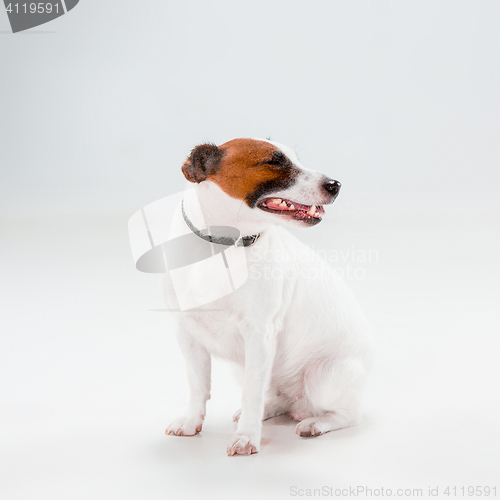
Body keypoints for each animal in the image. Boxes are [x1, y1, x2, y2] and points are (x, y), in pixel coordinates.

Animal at [162, 138, 374, 458]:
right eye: (273, 161)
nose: (335, 184)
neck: (222, 247)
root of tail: (301, 405)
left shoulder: (258, 335)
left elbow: (251, 393)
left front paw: (246, 437)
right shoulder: (187, 334)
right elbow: (198, 385)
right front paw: (190, 421)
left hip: (321, 376)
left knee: (349, 415)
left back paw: (316, 423)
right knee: (275, 399)